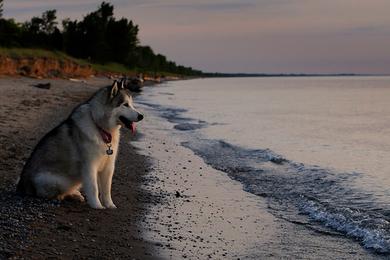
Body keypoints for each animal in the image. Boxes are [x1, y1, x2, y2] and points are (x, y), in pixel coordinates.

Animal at [17, 80, 143, 208]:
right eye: (125, 104)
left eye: (132, 104)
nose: (141, 116)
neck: (99, 127)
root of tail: (21, 185)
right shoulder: (90, 166)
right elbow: (94, 188)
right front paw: (97, 206)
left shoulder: (109, 166)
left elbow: (107, 190)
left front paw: (110, 205)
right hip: (57, 180)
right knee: (55, 193)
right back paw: (68, 196)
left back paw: (75, 194)